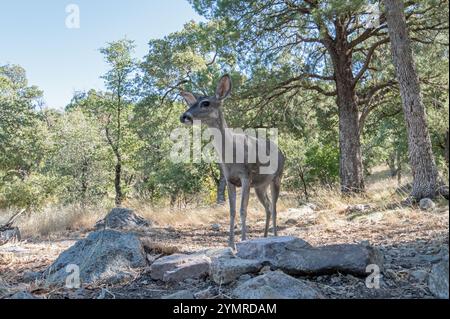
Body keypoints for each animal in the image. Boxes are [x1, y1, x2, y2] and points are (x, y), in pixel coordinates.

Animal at [179, 74, 284, 249]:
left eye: (205, 103)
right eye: (190, 103)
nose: (184, 116)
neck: (231, 154)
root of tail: (282, 151)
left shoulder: (246, 175)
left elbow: (243, 209)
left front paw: (243, 240)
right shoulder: (229, 179)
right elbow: (232, 210)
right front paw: (230, 244)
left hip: (277, 177)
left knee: (275, 207)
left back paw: (275, 236)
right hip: (260, 185)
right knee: (268, 207)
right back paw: (264, 237)